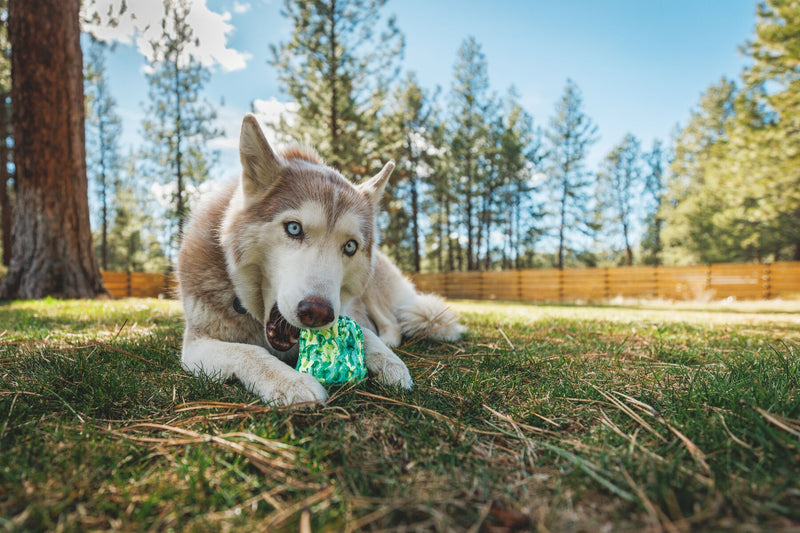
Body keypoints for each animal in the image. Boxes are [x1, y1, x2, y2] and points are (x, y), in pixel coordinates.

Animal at [175, 114, 462, 406]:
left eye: (350, 246)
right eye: (294, 228)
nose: (317, 312)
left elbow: (365, 331)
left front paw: (389, 361)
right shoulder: (195, 345)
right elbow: (248, 351)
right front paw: (290, 382)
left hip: (372, 290)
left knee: (391, 323)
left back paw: (391, 342)